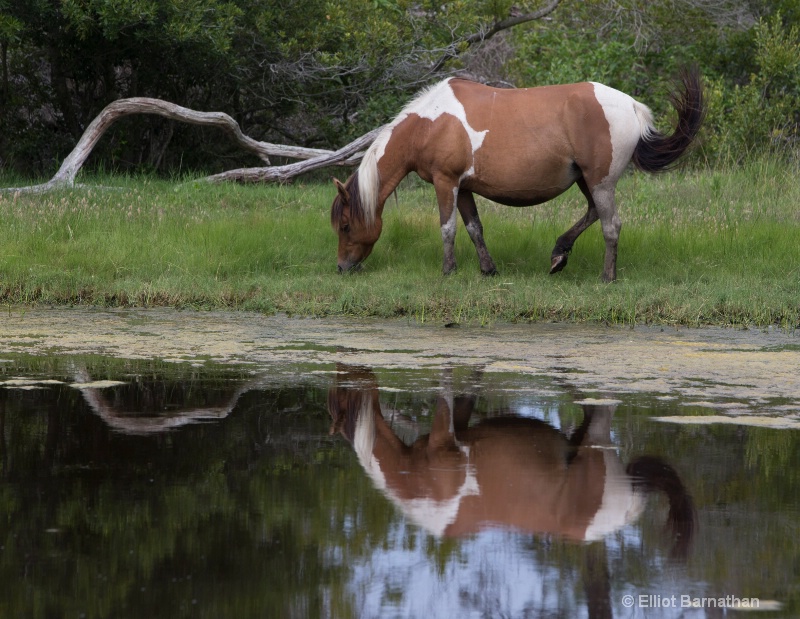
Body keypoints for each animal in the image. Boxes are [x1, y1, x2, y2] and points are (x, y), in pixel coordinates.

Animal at [328, 69, 704, 280]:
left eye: (345, 226)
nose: (342, 267)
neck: (430, 123)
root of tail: (631, 106)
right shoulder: (464, 187)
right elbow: (474, 228)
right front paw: (488, 270)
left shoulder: (445, 182)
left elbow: (448, 229)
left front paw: (448, 271)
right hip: (587, 180)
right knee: (594, 214)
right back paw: (559, 255)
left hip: (601, 181)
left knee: (611, 226)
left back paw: (607, 276)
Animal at [328, 366, 696, 560]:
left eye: (339, 397)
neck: (420, 488)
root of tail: (633, 498)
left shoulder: (446, 435)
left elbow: (446, 386)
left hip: (597, 440)